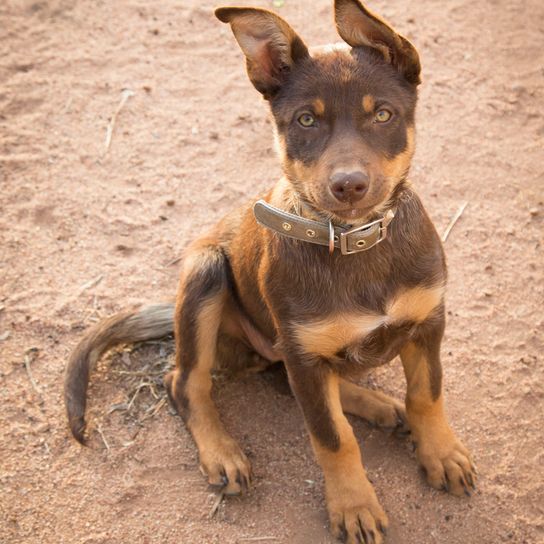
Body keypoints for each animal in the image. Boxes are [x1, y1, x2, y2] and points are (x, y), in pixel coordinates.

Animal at [65, 2, 476, 540]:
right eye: (306, 120)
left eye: (383, 114)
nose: (349, 186)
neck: (352, 242)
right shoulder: (303, 350)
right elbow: (333, 438)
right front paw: (354, 505)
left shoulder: (427, 322)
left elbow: (427, 396)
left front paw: (442, 454)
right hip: (207, 275)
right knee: (186, 381)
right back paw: (223, 454)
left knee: (290, 381)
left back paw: (382, 407)